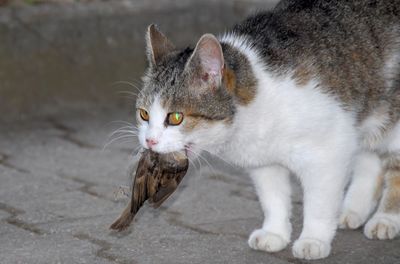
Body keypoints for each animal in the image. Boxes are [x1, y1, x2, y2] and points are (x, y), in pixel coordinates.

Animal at [134, 0, 400, 260]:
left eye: (175, 118)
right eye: (144, 114)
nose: (149, 141)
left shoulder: (329, 152)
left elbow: (319, 203)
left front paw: (313, 239)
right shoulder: (263, 162)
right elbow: (273, 198)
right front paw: (275, 233)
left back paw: (385, 219)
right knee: (370, 160)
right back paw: (353, 209)